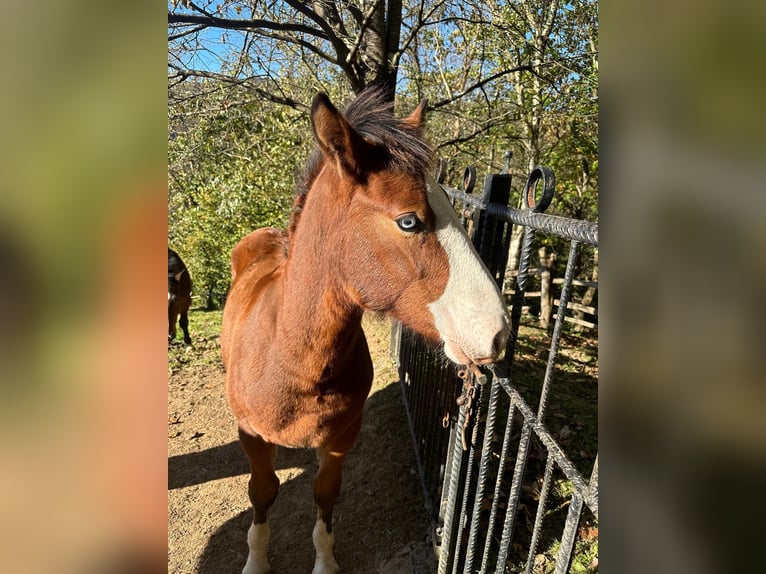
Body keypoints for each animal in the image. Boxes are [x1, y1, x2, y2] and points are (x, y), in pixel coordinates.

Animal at [220, 86, 510, 574]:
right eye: (409, 221)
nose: (498, 333)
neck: (291, 361)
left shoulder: (342, 437)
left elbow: (325, 493)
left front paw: (324, 561)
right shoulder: (252, 437)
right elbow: (261, 493)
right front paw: (256, 561)